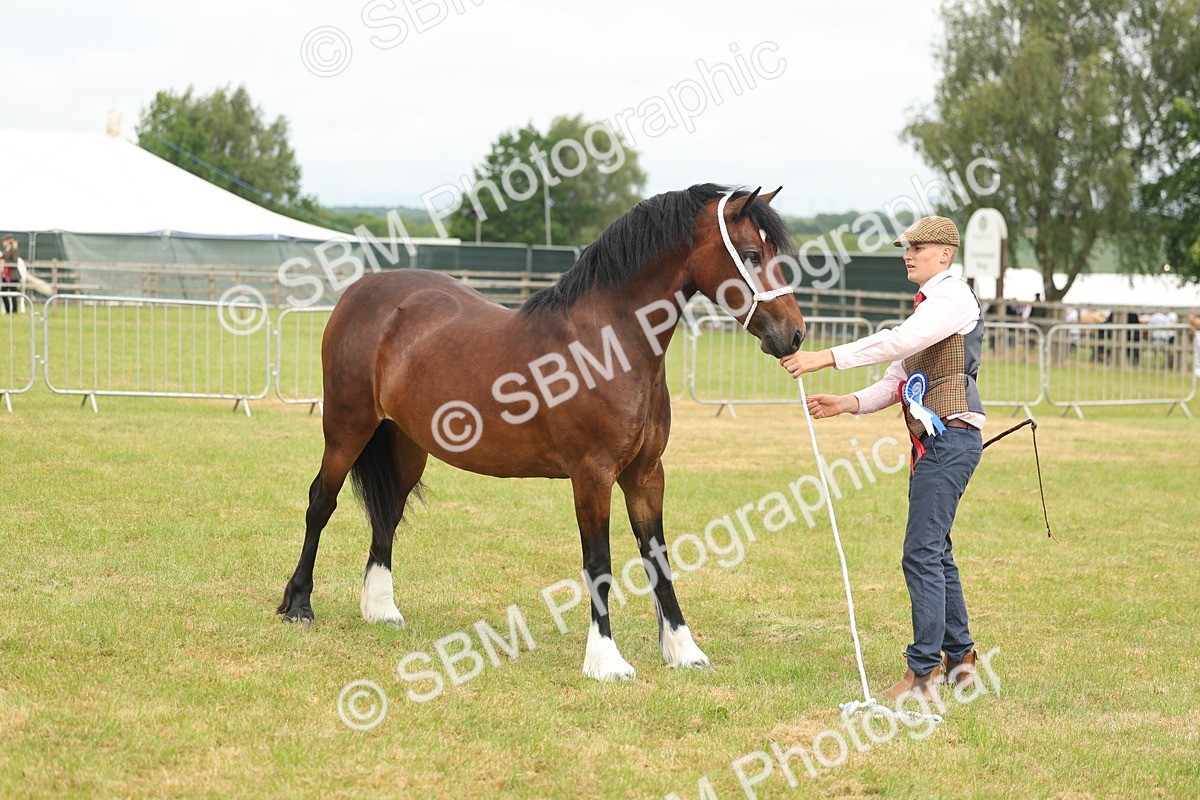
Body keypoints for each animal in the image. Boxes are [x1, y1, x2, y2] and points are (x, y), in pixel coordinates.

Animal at [277, 183, 807, 681]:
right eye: (753, 255)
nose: (795, 335)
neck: (609, 345)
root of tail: (360, 292)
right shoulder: (592, 477)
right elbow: (599, 564)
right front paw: (606, 661)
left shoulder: (646, 475)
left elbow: (658, 558)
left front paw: (682, 651)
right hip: (346, 428)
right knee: (321, 501)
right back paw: (299, 604)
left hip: (407, 446)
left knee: (387, 514)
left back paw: (381, 609)